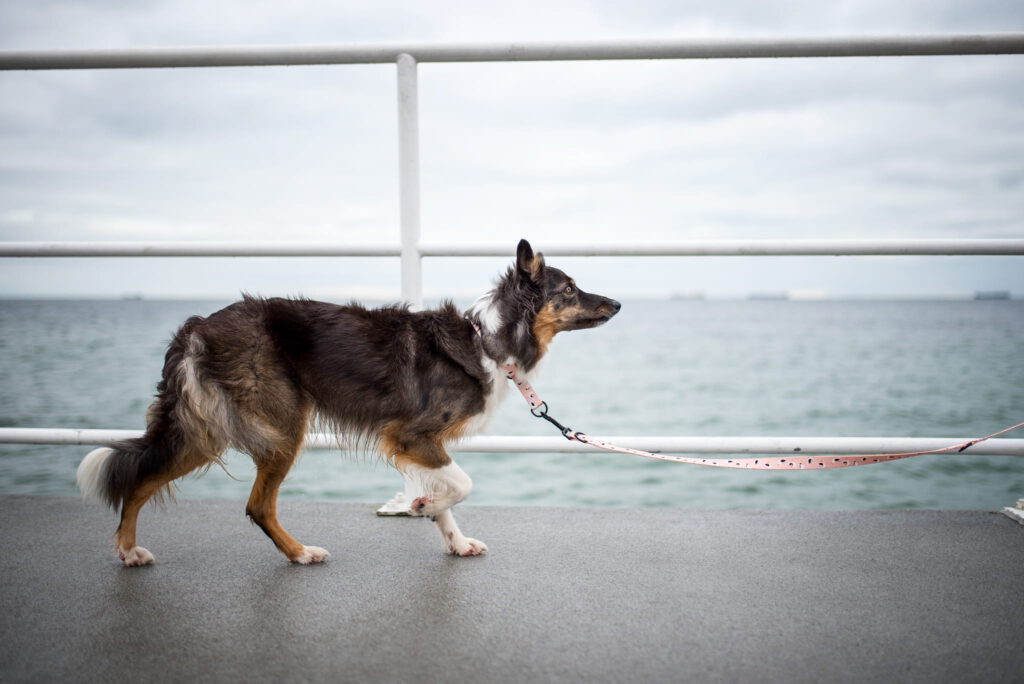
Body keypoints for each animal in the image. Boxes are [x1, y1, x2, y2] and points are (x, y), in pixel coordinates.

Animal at [75, 240, 618, 565]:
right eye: (570, 288)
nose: (616, 303)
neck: (487, 340)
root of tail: (197, 326)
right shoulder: (412, 435)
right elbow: (463, 484)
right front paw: (422, 505)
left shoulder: (420, 443)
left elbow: (448, 496)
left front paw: (451, 535)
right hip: (280, 427)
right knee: (255, 504)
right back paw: (299, 553)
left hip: (207, 430)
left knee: (141, 479)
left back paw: (128, 551)